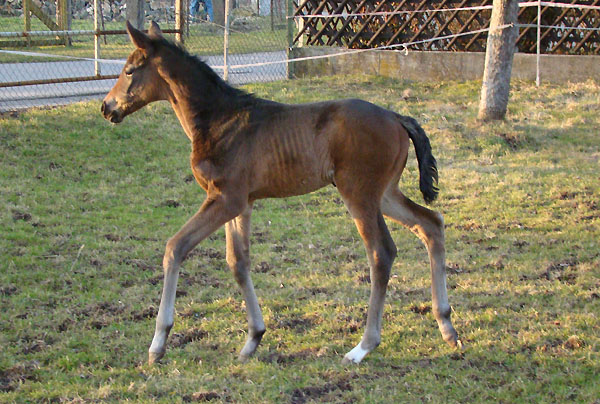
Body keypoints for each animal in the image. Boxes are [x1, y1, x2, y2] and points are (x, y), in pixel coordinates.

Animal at [102, 20, 460, 364]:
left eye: (130, 70)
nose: (107, 107)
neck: (219, 120)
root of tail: (397, 117)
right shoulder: (241, 204)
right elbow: (238, 262)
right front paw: (253, 339)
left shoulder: (225, 199)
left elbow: (175, 248)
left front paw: (158, 343)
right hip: (383, 193)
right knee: (431, 223)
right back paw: (446, 325)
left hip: (359, 193)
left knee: (381, 253)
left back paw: (363, 347)